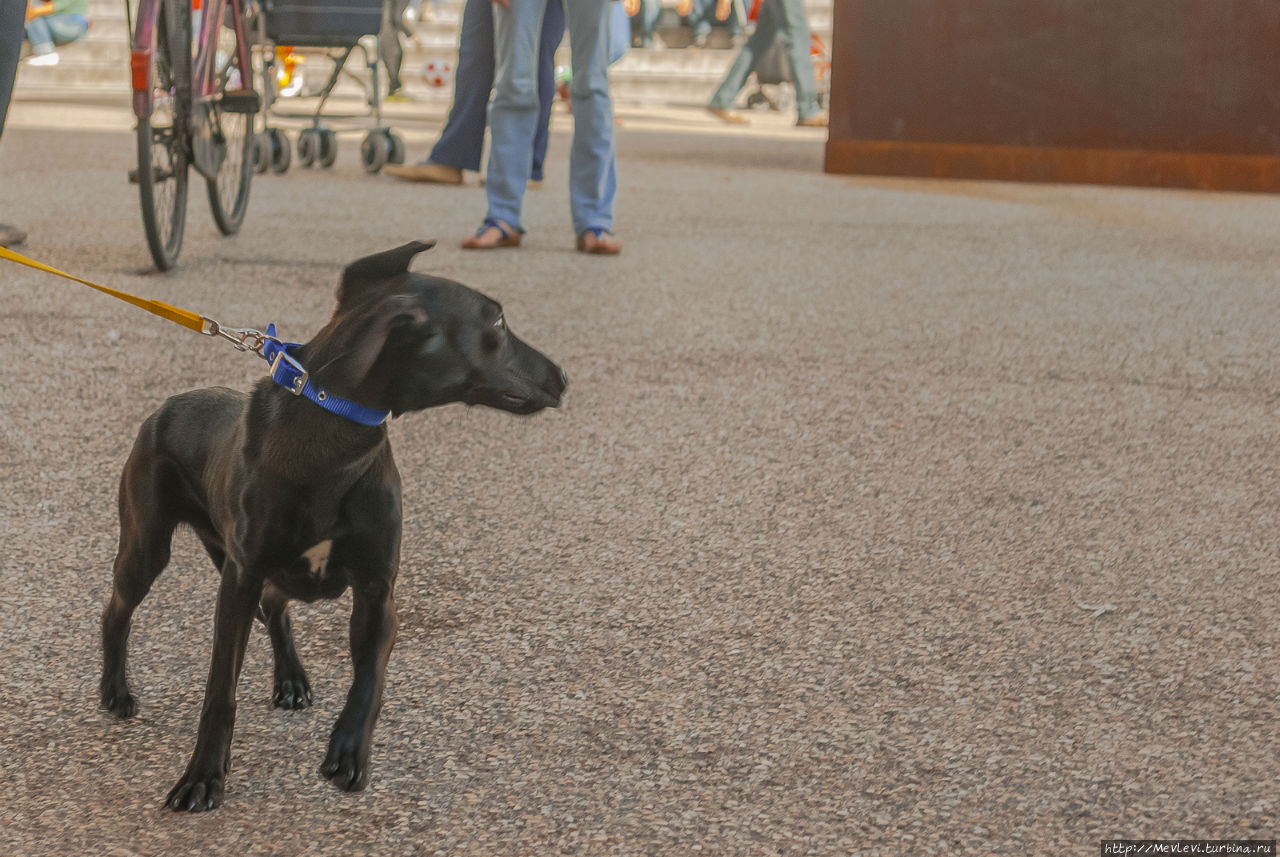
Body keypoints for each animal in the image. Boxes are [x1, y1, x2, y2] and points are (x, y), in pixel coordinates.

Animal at [94, 241, 565, 813]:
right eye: (496, 320)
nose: (564, 378)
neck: (334, 428)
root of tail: (166, 406)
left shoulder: (377, 592)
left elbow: (369, 681)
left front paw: (348, 750)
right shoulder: (239, 581)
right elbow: (220, 691)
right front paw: (202, 776)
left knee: (276, 609)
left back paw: (292, 678)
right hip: (148, 547)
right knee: (117, 611)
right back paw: (115, 691)